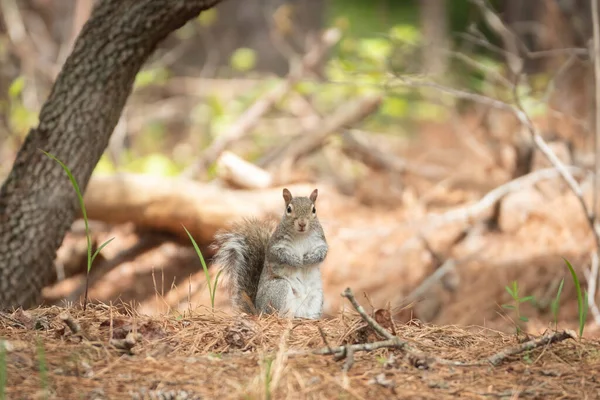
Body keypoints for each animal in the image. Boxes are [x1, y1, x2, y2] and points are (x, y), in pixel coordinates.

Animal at [211, 188, 330, 318]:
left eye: (314, 210)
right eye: (289, 209)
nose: (302, 223)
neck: (301, 235)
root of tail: (257, 310)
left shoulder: (319, 242)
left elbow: (322, 253)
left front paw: (309, 259)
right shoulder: (275, 246)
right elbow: (279, 255)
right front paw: (295, 261)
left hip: (316, 296)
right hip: (279, 288)